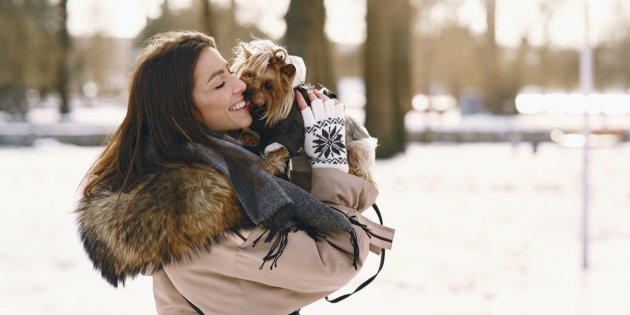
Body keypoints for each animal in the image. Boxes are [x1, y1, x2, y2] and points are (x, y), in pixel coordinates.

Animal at [233, 39, 378, 188]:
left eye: (269, 86)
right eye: (249, 74)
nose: (247, 92)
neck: (267, 107)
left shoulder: (290, 128)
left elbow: (279, 149)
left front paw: (267, 167)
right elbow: (251, 133)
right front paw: (247, 139)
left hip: (358, 147)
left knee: (365, 175)